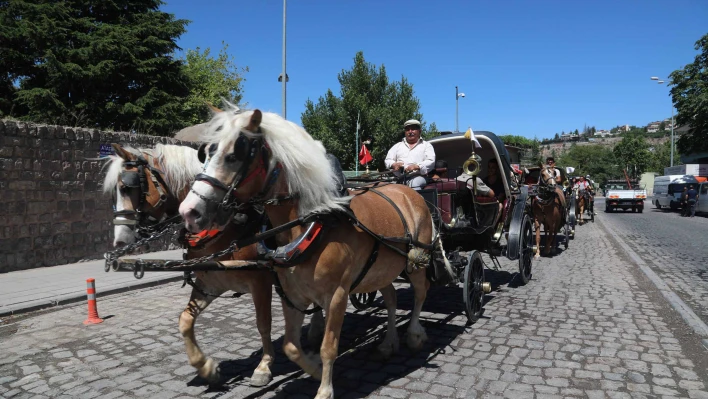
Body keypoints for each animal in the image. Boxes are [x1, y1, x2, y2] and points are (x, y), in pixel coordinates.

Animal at [178, 107, 454, 399]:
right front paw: (313, 368)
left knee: (421, 292)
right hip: (381, 269)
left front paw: (324, 388)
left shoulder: (336, 295)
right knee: (390, 298)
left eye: (234, 156)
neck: (313, 222)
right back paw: (388, 343)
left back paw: (413, 334)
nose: (189, 211)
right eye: (205, 154)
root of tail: (408, 190)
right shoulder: (290, 293)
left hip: (415, 262)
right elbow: (290, 345)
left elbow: (328, 346)